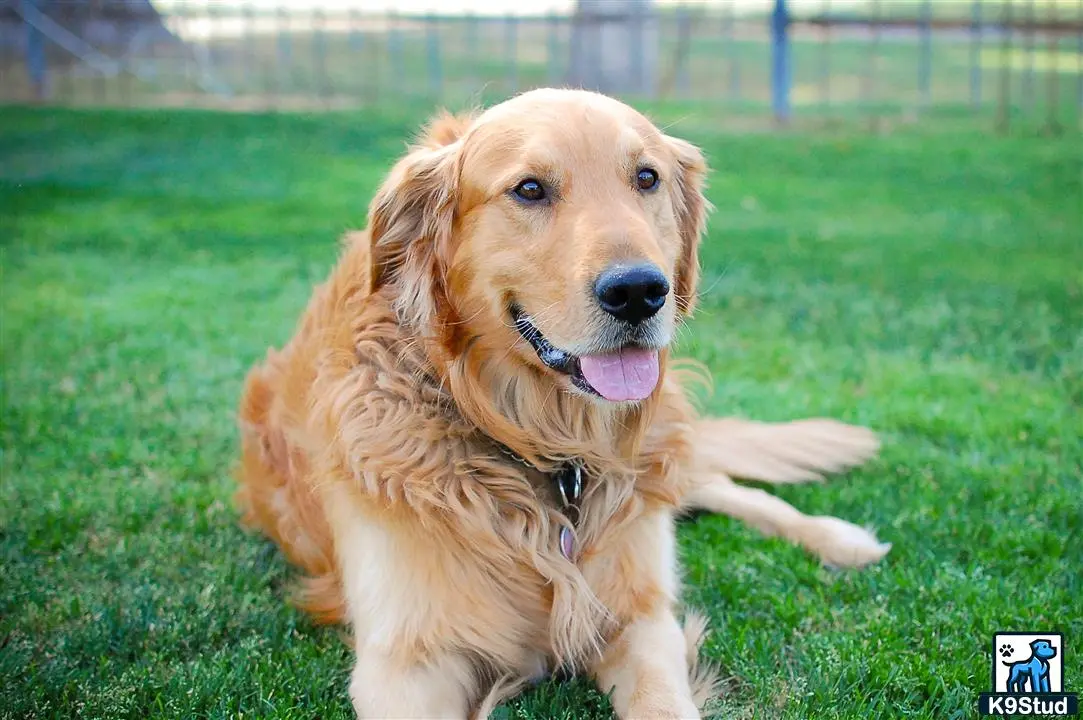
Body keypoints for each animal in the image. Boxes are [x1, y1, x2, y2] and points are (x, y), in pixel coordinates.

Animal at [235, 87, 888, 714]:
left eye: (646, 177)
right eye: (529, 189)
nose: (639, 291)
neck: (548, 449)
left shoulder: (642, 616)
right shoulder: (404, 661)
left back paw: (841, 539)